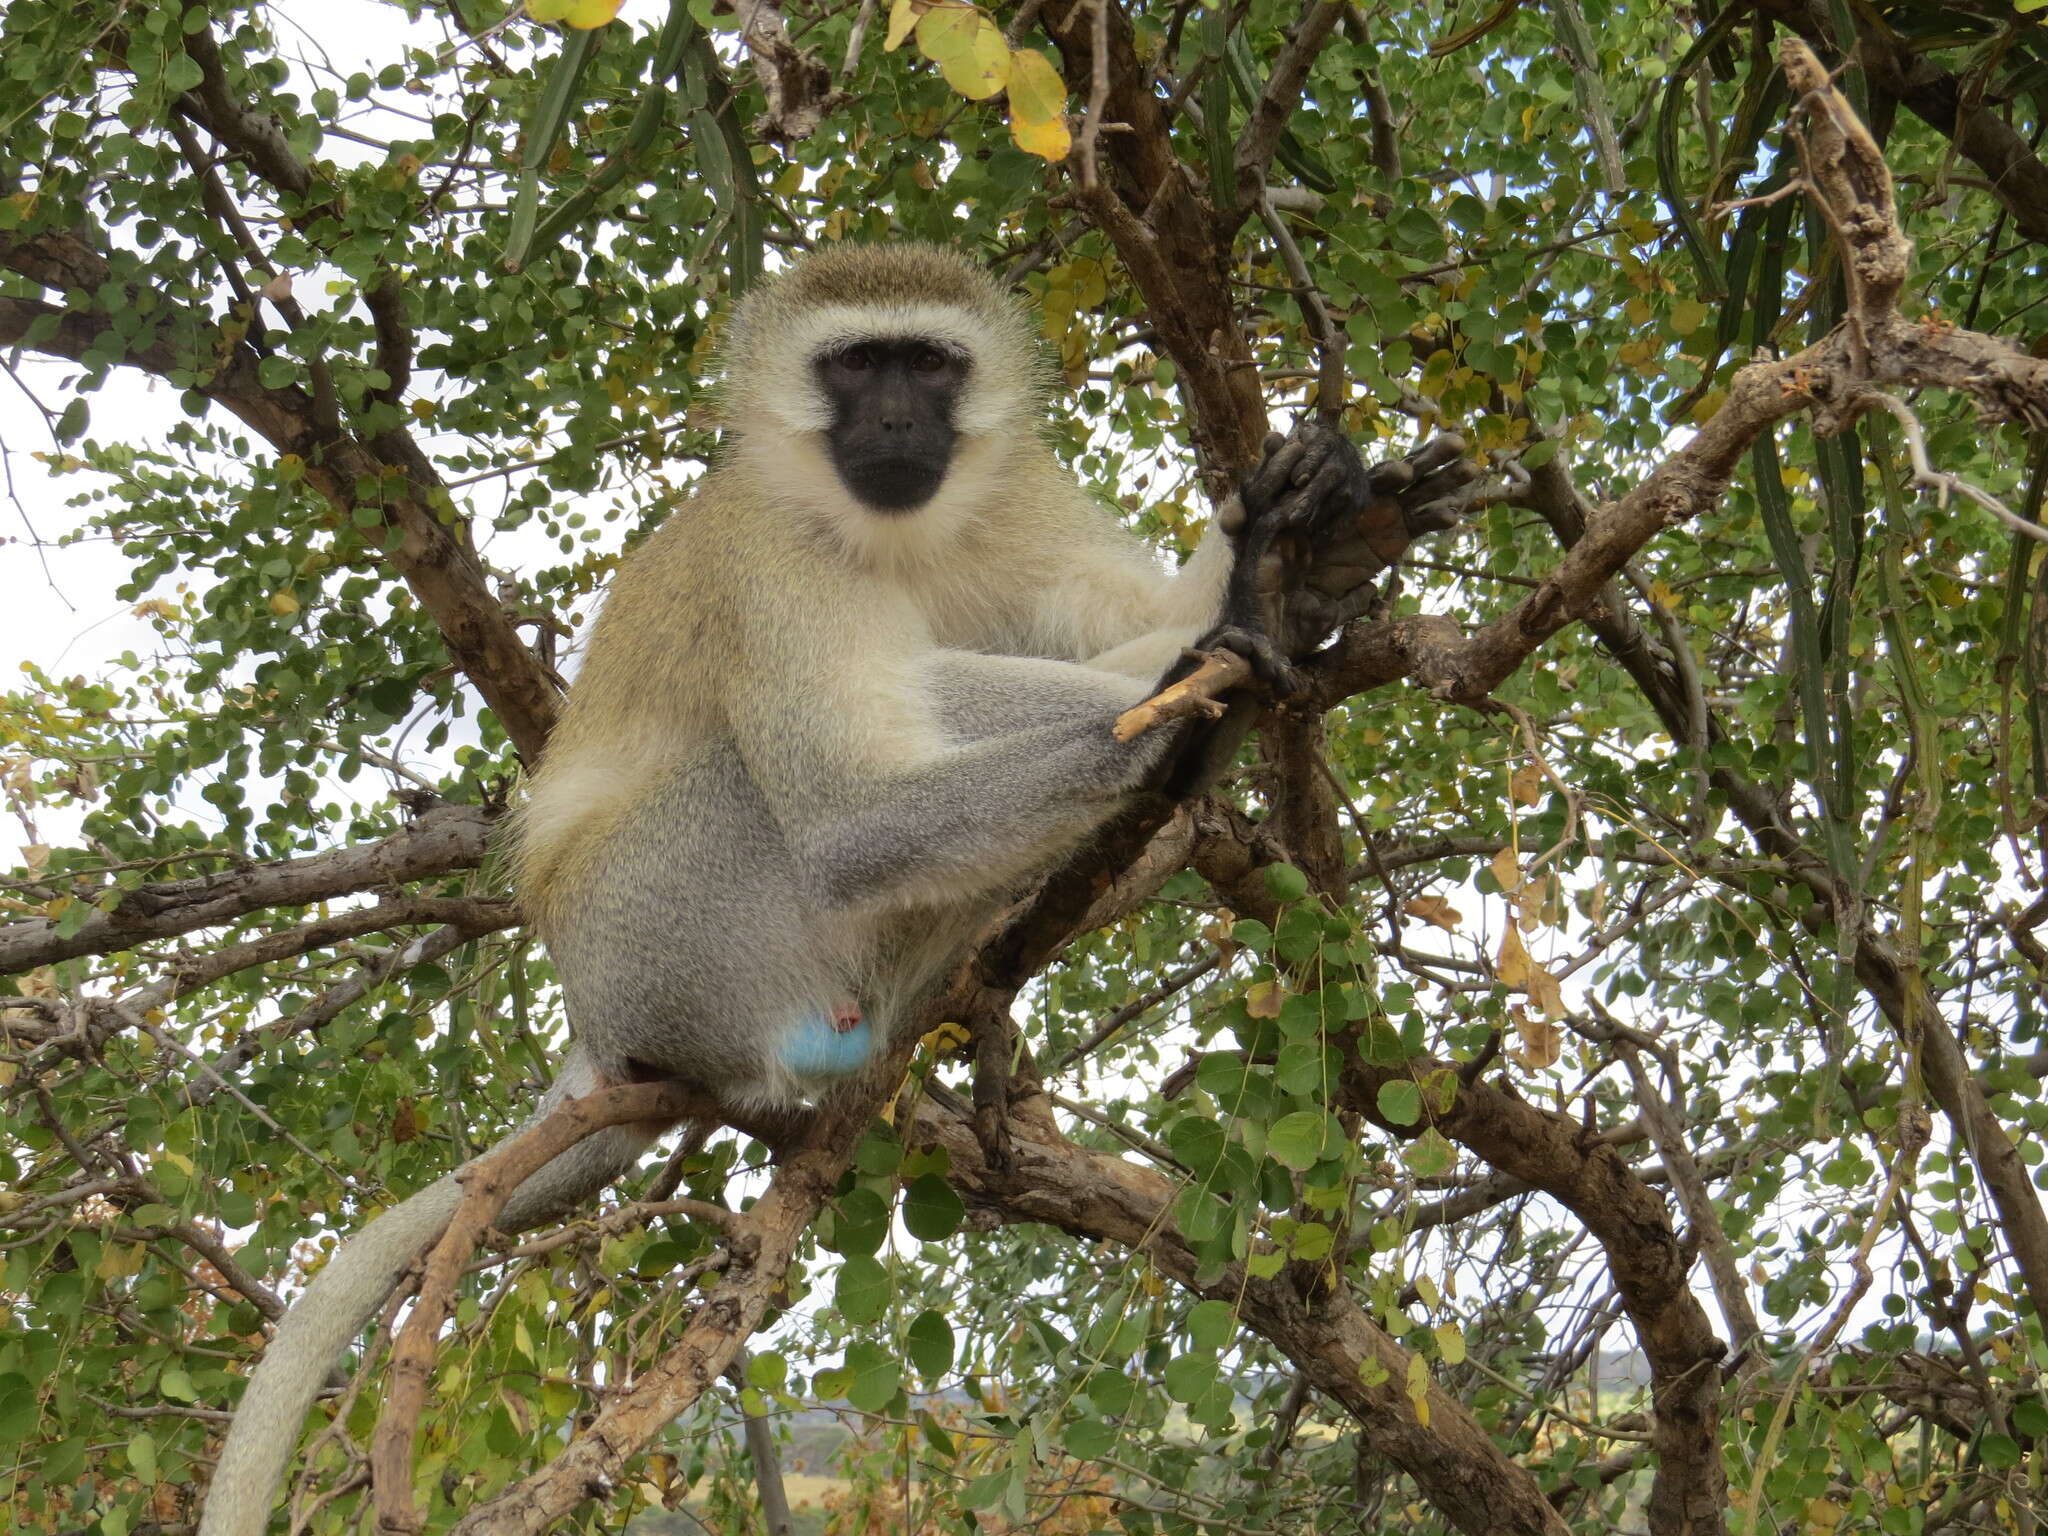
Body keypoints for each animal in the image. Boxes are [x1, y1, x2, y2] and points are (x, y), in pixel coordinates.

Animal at [195, 246, 1474, 1531]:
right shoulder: (769, 561)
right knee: (834, 760)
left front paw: (1303, 543)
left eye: (929, 364)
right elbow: (850, 818)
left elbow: (1146, 614)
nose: (900, 420)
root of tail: (596, 1025)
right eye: (856, 365)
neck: (886, 532)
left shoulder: (1015, 496)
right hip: (661, 926)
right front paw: (1215, 665)